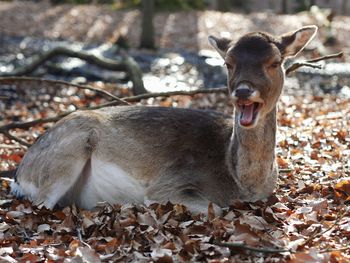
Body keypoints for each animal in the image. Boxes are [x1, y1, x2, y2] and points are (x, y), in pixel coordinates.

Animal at [10, 25, 318, 214]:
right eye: (228, 63)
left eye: (275, 62)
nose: (243, 91)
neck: (242, 183)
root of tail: (19, 173)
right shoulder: (170, 184)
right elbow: (217, 208)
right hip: (65, 155)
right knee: (40, 204)